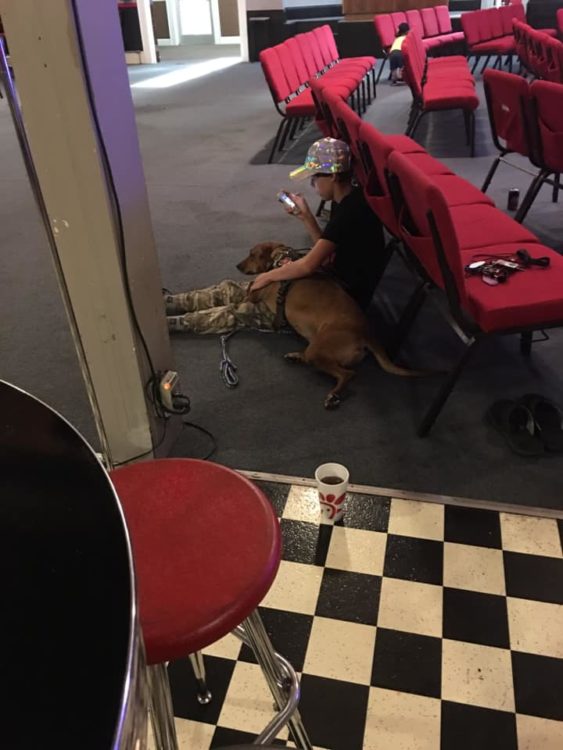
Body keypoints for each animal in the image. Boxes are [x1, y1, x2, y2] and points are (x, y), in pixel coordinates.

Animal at [236, 241, 420, 408]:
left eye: (252, 254)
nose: (237, 265)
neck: (279, 259)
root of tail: (365, 333)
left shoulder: (253, 294)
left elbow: (245, 291)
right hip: (316, 345)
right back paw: (296, 356)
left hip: (319, 349)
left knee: (348, 374)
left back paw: (334, 395)